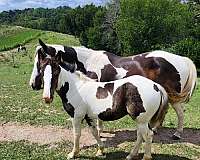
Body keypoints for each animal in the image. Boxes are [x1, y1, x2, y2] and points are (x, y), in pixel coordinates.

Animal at [29, 39, 197, 139]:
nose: (33, 84)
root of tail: (182, 59)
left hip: (173, 96)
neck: (88, 61)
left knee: (180, 113)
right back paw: (156, 129)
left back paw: (177, 133)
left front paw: (99, 131)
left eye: (40, 62)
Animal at [34, 50, 169, 160]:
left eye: (56, 71)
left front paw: (73, 154)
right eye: (41, 71)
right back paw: (131, 155)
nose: (47, 98)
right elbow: (94, 132)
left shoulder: (76, 116)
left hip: (141, 120)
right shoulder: (89, 117)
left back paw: (146, 156)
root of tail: (155, 86)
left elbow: (76, 134)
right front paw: (101, 151)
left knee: (148, 135)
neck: (76, 88)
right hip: (141, 120)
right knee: (141, 136)